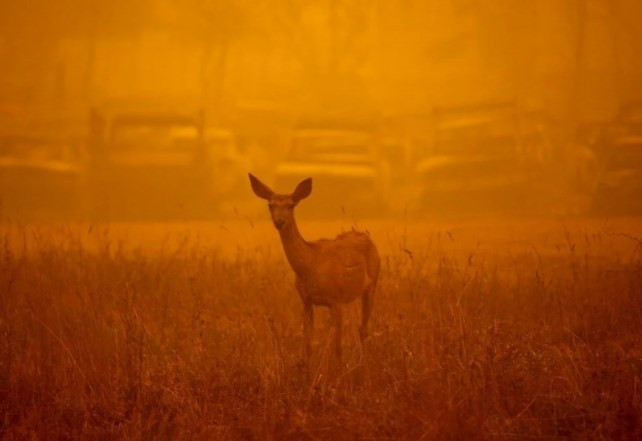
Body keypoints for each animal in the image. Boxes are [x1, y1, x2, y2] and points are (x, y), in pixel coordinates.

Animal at [248, 173, 378, 374]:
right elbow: (308, 346)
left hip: (372, 285)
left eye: (291, 205)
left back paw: (365, 372)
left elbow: (338, 347)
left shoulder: (336, 298)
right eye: (270, 205)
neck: (310, 266)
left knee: (362, 330)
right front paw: (308, 377)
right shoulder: (307, 300)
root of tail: (367, 238)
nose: (279, 221)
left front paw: (338, 378)